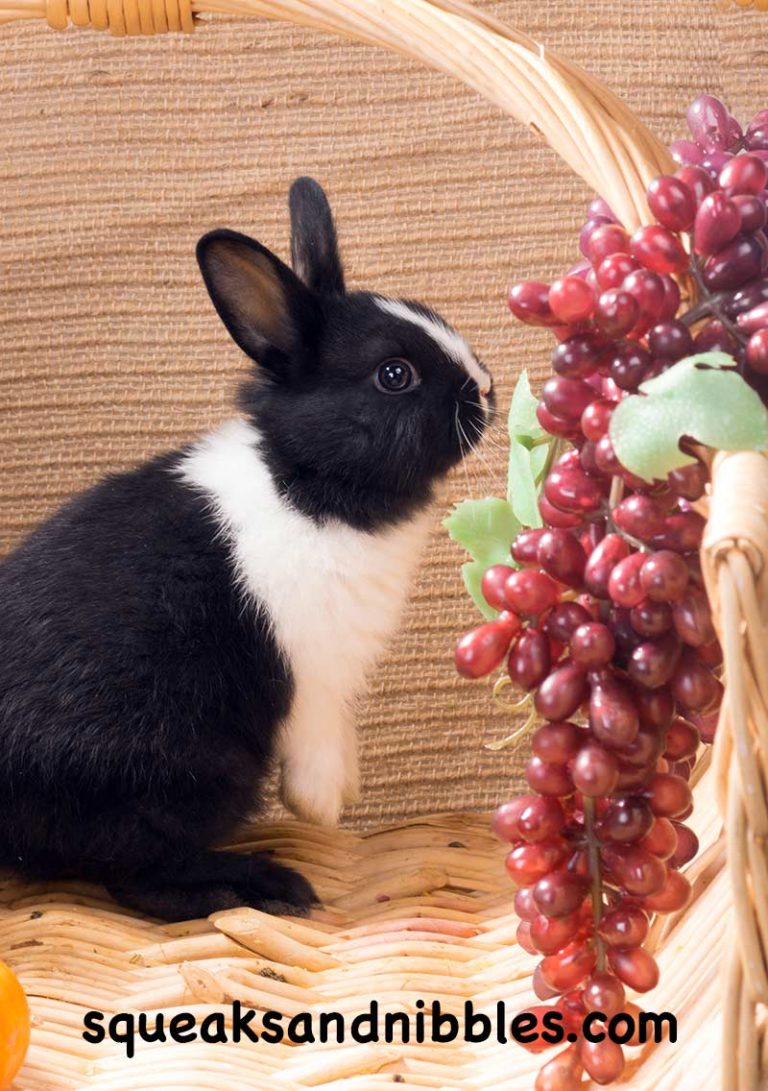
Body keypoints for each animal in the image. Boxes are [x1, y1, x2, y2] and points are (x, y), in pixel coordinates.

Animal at [0, 178, 494, 922]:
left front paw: (345, 792)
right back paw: (261, 886)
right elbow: (317, 740)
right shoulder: (311, 673)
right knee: (141, 876)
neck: (306, 476)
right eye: (395, 374)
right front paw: (322, 807)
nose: (487, 389)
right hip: (185, 772)